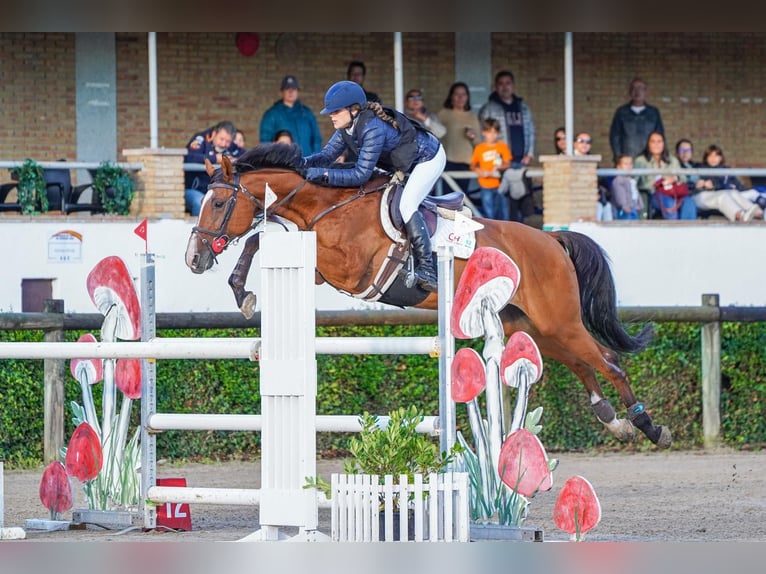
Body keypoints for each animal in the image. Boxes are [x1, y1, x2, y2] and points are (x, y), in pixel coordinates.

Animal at [184, 143, 672, 450]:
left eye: (218, 204)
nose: (194, 259)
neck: (328, 204)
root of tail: (552, 239)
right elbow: (258, 240)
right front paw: (242, 292)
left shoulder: (348, 270)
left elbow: (267, 240)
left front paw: (244, 291)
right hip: (533, 325)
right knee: (581, 362)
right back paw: (612, 420)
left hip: (559, 320)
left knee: (609, 361)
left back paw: (648, 427)